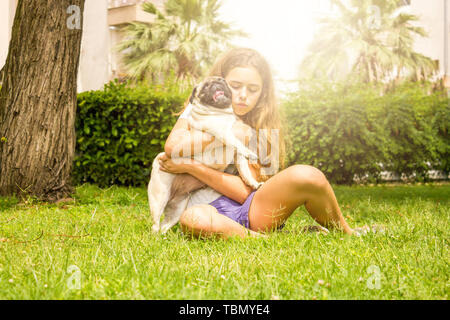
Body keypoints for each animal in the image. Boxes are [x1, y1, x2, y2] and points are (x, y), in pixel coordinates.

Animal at [148, 76, 262, 234]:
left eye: (223, 81)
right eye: (206, 86)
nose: (217, 83)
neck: (221, 112)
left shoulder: (236, 156)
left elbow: (244, 170)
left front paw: (252, 182)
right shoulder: (222, 131)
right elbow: (236, 142)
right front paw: (249, 153)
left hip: (178, 208)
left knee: (164, 226)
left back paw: (163, 237)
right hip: (159, 197)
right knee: (155, 224)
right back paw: (153, 237)